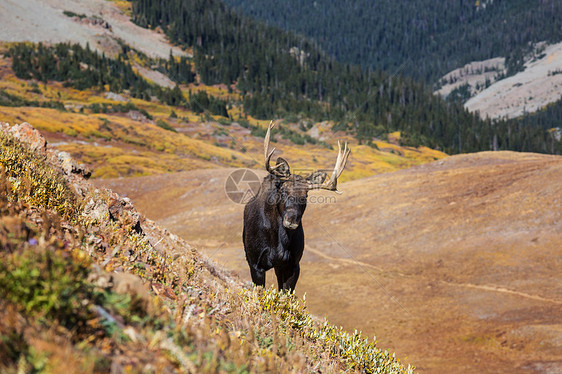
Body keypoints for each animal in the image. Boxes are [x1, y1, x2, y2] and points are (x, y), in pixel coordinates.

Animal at [242, 121, 348, 290]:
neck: (278, 241)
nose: (291, 220)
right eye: (283, 190)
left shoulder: (293, 265)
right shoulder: (255, 264)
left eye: (305, 196)